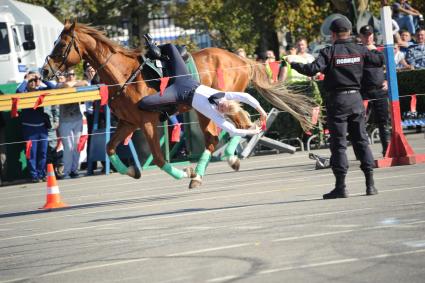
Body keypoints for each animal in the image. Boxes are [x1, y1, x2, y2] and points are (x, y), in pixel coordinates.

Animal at [42, 21, 314, 189]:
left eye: (61, 44)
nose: (45, 70)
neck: (126, 74)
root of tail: (241, 59)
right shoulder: (129, 122)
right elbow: (109, 148)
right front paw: (132, 171)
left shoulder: (147, 122)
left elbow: (159, 158)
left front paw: (185, 172)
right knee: (229, 130)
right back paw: (216, 164)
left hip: (217, 102)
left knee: (237, 126)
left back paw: (220, 162)